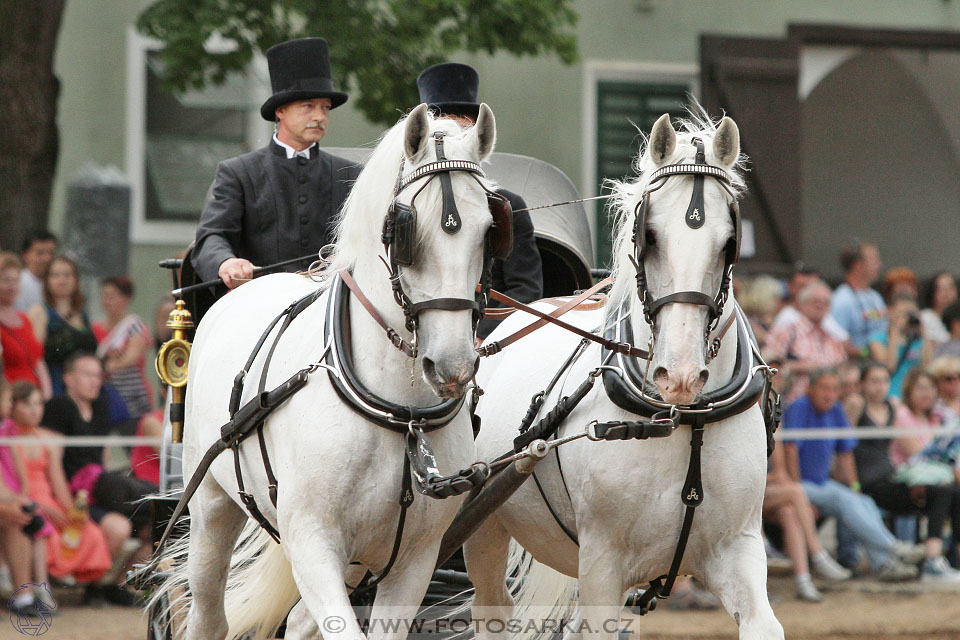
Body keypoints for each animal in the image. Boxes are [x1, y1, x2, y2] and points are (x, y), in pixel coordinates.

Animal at [156, 102, 502, 636]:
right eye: (405, 229)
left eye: (489, 230)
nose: (452, 367)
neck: (400, 412)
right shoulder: (311, 542)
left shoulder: (415, 560)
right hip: (212, 505)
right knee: (209, 614)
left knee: (299, 620)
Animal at [466, 112, 788, 640]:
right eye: (649, 235)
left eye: (729, 244)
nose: (680, 376)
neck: (681, 419)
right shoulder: (602, 563)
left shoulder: (736, 547)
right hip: (486, 525)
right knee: (490, 609)